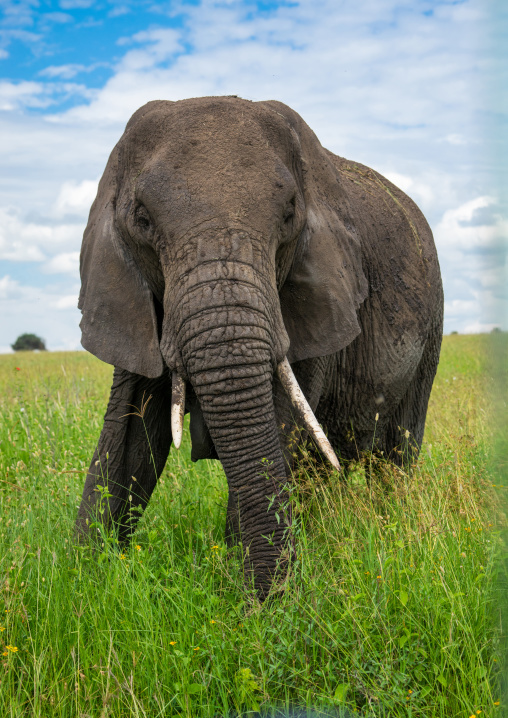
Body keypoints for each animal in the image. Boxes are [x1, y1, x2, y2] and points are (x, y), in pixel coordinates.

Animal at [75, 96, 443, 597]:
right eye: (142, 220)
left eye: (289, 214)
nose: (262, 600)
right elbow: (128, 430)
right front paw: (83, 578)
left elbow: (278, 423)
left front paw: (246, 597)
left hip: (433, 325)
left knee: (396, 452)